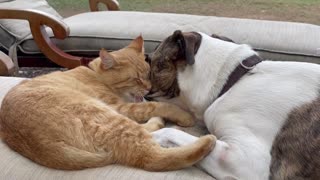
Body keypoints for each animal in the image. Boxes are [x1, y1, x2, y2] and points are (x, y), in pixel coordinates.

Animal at [0, 36, 215, 170]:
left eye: (148, 74)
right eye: (136, 79)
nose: (148, 89)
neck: (96, 74)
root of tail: (46, 149)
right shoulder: (121, 107)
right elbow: (158, 105)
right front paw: (183, 115)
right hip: (105, 115)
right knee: (148, 156)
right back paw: (205, 141)